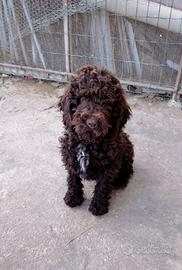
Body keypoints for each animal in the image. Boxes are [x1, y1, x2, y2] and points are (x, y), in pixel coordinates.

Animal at [58, 65, 134, 215]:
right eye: (83, 98)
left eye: (108, 103)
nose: (92, 123)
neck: (89, 142)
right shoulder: (70, 156)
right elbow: (73, 178)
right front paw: (73, 197)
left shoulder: (109, 165)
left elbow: (102, 185)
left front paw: (98, 206)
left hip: (127, 147)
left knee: (128, 168)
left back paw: (121, 180)